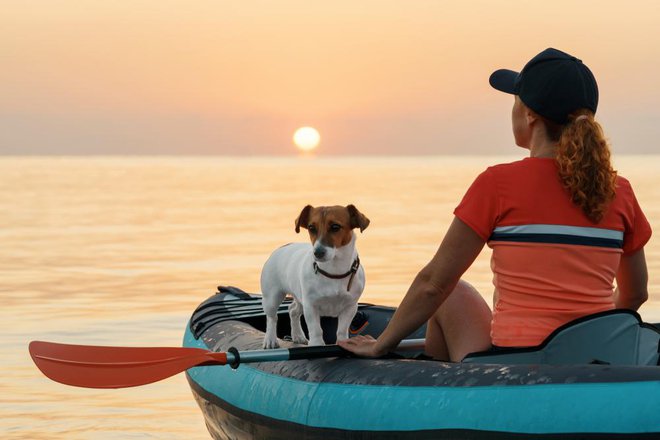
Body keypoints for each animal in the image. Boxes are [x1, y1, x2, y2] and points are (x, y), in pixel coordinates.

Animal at [260, 205, 372, 348]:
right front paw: (317, 344)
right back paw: (270, 339)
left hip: (299, 296)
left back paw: (298, 336)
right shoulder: (310, 305)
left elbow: (342, 329)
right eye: (311, 228)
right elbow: (316, 329)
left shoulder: (350, 306)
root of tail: (282, 247)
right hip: (272, 297)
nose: (317, 253)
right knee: (272, 318)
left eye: (335, 227)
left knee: (293, 311)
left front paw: (342, 343)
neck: (333, 272)